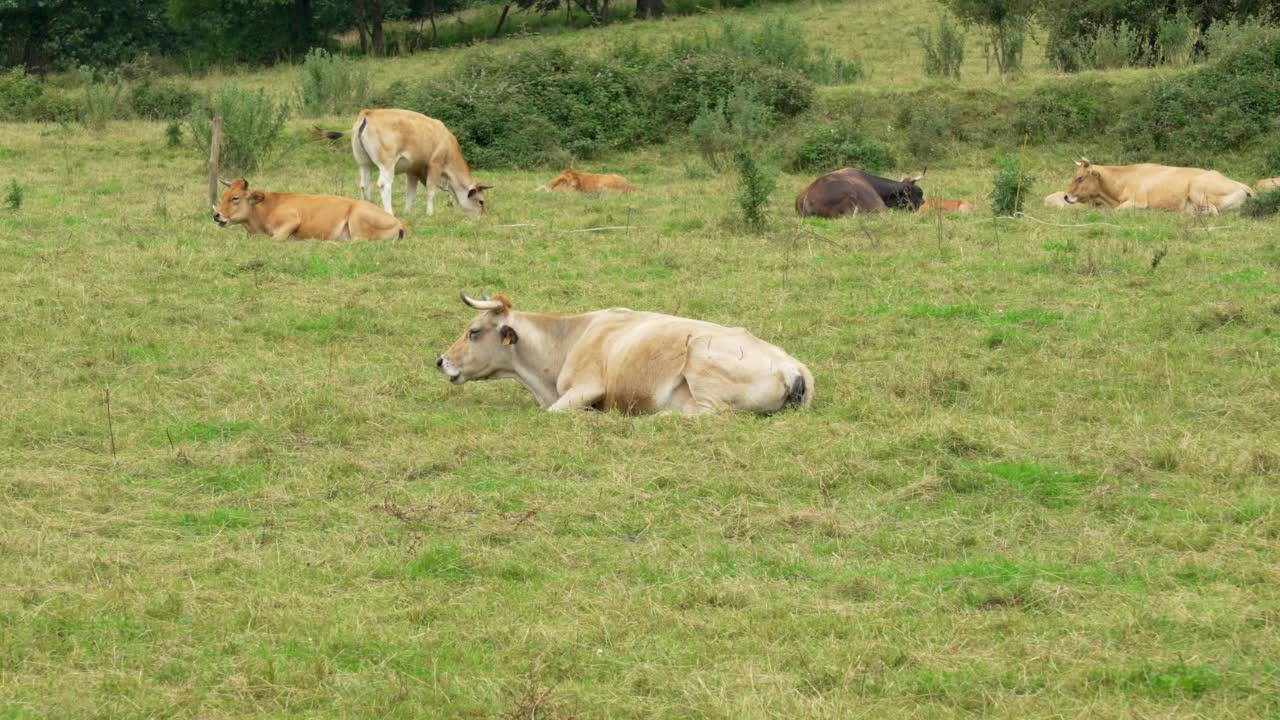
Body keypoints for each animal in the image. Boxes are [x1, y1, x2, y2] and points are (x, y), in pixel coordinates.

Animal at [209, 176, 401, 239]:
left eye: (235, 198)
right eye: (223, 196)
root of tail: (399, 222)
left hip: (357, 219)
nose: (217, 215)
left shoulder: (290, 222)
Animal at [1064, 156, 1254, 212]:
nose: (1066, 197)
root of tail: (1242, 185)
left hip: (1197, 190)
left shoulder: (1139, 201)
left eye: (1080, 178)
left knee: (1212, 211)